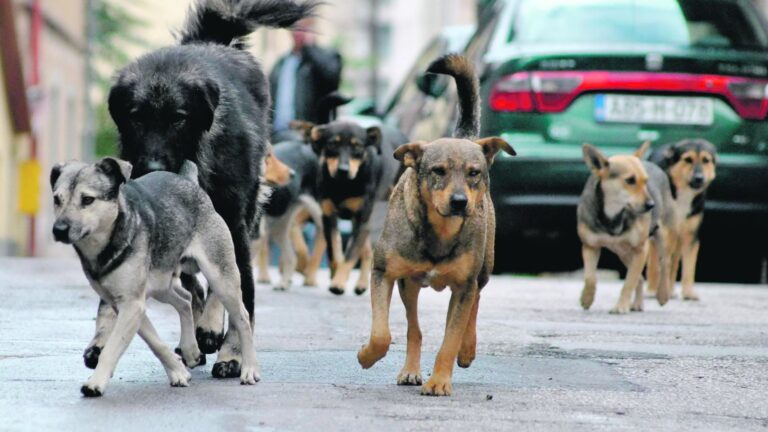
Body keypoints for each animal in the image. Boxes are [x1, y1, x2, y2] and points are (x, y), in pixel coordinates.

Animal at [51, 157, 260, 396]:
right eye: (57, 199)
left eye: (87, 199)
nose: (59, 229)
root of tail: (190, 182)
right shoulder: (124, 305)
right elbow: (156, 343)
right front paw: (178, 372)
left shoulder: (132, 305)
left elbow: (112, 348)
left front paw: (95, 383)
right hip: (162, 284)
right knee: (185, 300)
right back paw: (190, 350)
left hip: (221, 278)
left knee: (242, 317)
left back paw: (249, 368)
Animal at [100, 0, 320, 378]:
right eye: (137, 116)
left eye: (178, 117)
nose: (153, 168)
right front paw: (99, 342)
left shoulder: (234, 223)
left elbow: (242, 300)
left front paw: (232, 352)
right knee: (193, 285)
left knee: (223, 281)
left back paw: (210, 329)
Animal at [356, 54, 512, 398]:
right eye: (438, 171)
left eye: (474, 173)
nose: (459, 202)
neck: (441, 230)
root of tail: (465, 137)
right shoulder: (384, 273)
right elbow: (382, 333)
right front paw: (366, 356)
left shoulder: (464, 284)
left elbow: (450, 339)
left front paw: (440, 380)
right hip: (409, 285)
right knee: (414, 327)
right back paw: (411, 371)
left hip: (483, 268)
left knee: (475, 302)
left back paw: (467, 350)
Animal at [580, 143, 668, 314]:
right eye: (630, 180)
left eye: (645, 181)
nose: (651, 205)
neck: (613, 213)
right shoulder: (590, 246)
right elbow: (590, 277)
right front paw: (586, 298)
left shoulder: (641, 250)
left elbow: (628, 282)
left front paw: (621, 306)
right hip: (624, 253)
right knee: (640, 278)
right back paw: (638, 304)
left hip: (662, 236)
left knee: (665, 263)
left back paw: (662, 294)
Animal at [652, 139, 716, 300]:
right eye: (688, 159)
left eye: (706, 160)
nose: (699, 178)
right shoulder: (661, 233)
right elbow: (657, 264)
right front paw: (655, 289)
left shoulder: (690, 236)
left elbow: (689, 267)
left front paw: (688, 292)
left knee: (674, 262)